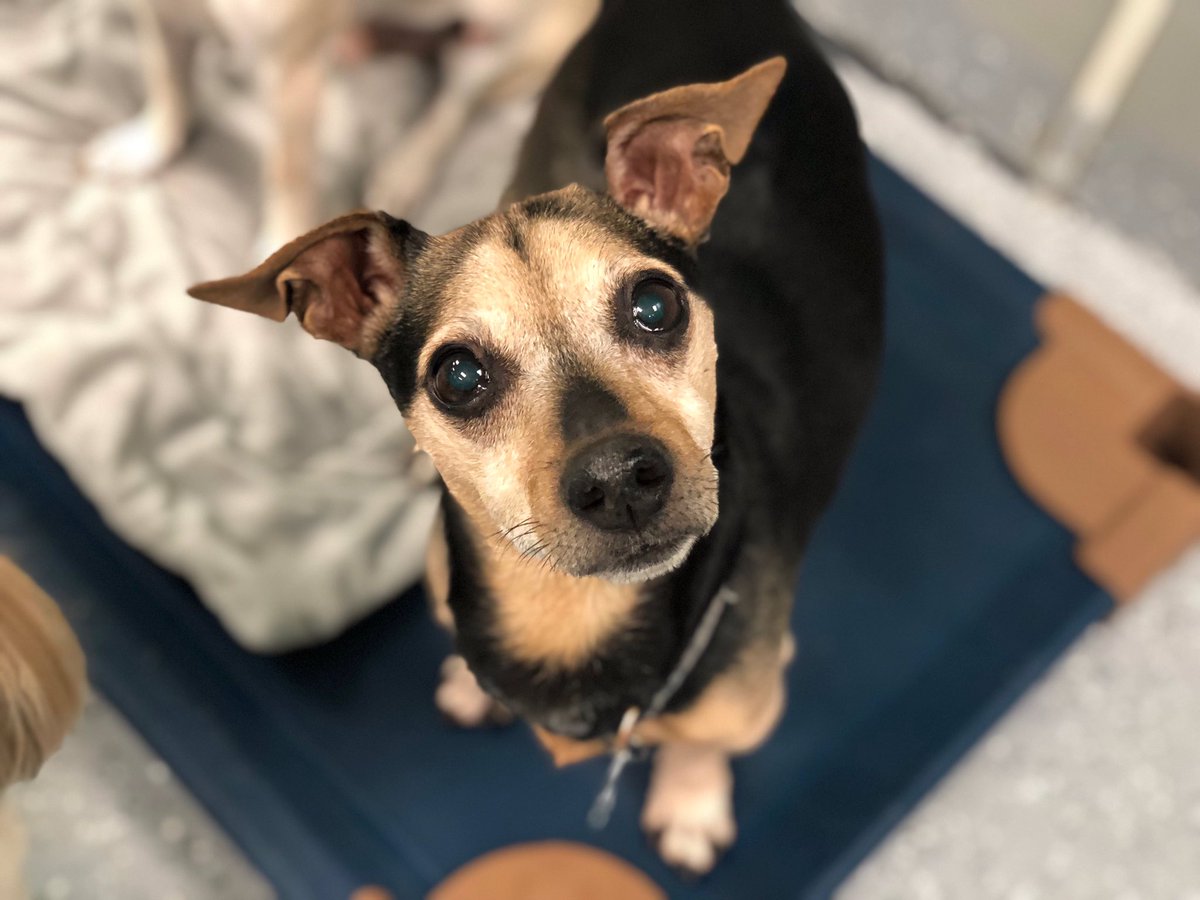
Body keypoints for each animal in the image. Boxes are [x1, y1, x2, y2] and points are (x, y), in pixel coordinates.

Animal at [82, 0, 597, 250]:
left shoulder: (291, 72)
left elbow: (287, 169)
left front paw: (280, 241)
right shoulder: (162, 14)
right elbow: (169, 83)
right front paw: (146, 148)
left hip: (501, 47)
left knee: (454, 106)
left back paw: (401, 171)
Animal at [187, 0, 883, 878]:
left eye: (656, 306)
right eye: (456, 376)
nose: (619, 479)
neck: (570, 606)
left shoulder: (750, 688)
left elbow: (703, 745)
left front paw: (691, 803)